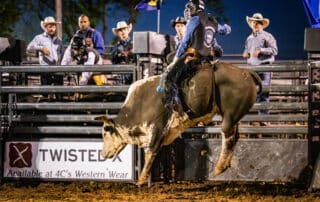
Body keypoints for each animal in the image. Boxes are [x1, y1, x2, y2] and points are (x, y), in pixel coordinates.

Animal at [94, 60, 260, 186]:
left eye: (105, 131)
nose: (103, 153)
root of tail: (246, 73)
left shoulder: (157, 127)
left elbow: (150, 152)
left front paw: (141, 180)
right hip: (234, 116)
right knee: (234, 136)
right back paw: (224, 166)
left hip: (229, 115)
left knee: (228, 135)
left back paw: (219, 167)